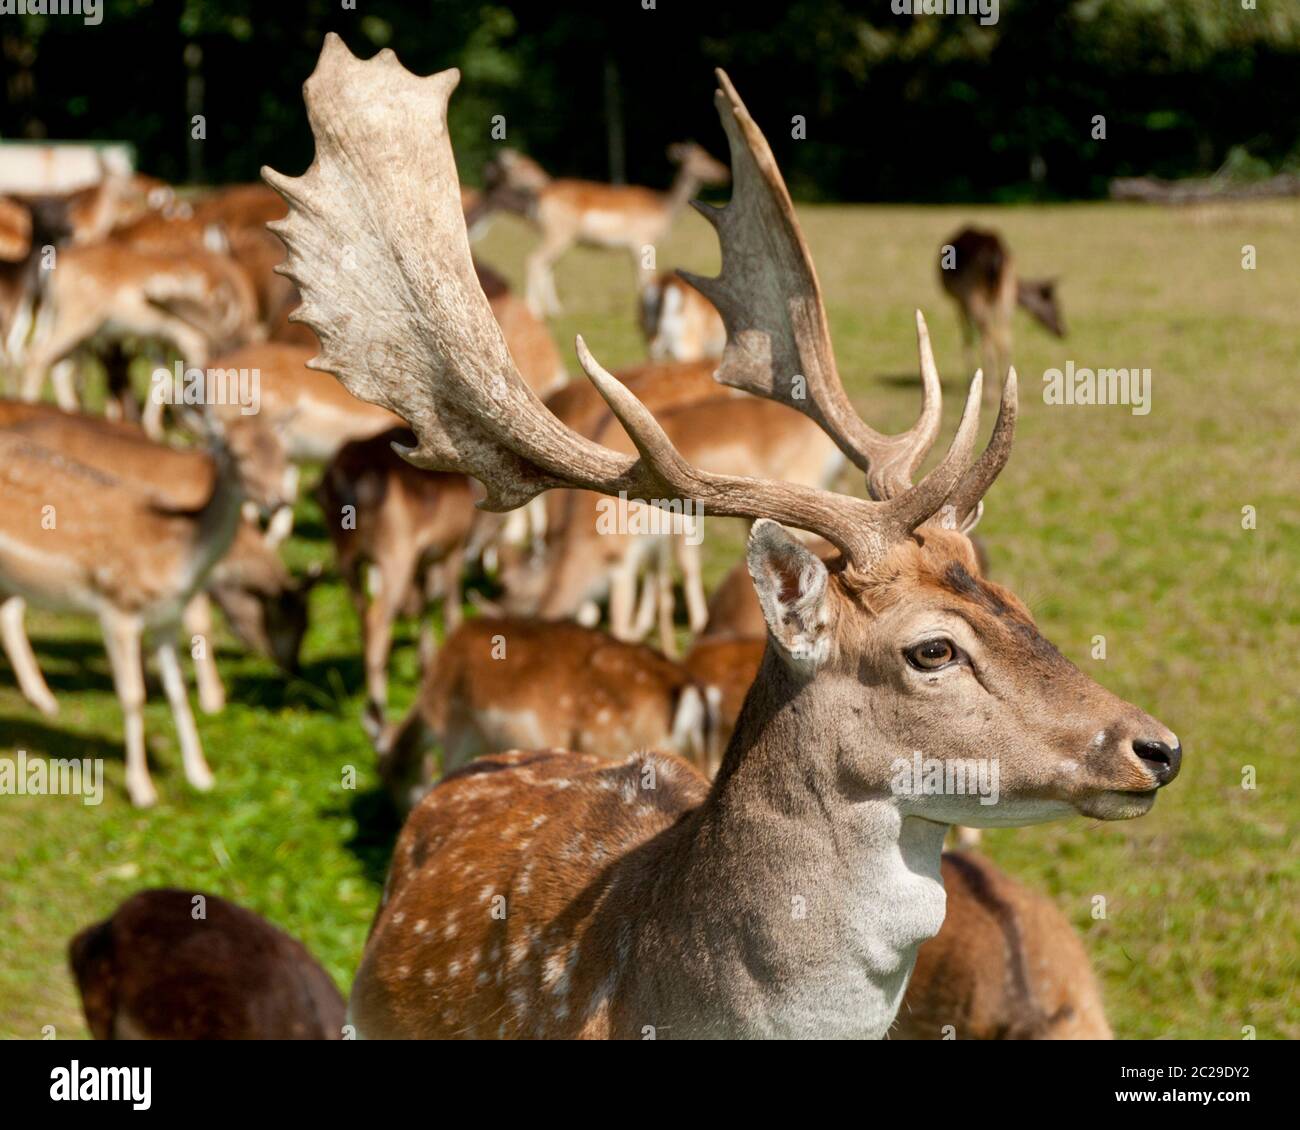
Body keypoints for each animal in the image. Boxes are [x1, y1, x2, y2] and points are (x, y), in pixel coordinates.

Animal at [488, 143, 733, 317]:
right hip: (559, 233)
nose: (724, 172)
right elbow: (645, 275)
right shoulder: (641, 240)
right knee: (534, 259)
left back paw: (555, 309)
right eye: (703, 157)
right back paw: (535, 309)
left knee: (547, 264)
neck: (664, 210)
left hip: (554, 234)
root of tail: (539, 196)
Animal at [935, 226, 1066, 382]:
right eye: (1057, 305)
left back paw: (990, 382)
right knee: (1004, 338)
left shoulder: (960, 301)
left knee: (988, 337)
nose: (1063, 331)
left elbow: (968, 338)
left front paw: (970, 376)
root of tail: (995, 253)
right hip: (1005, 292)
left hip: (973, 292)